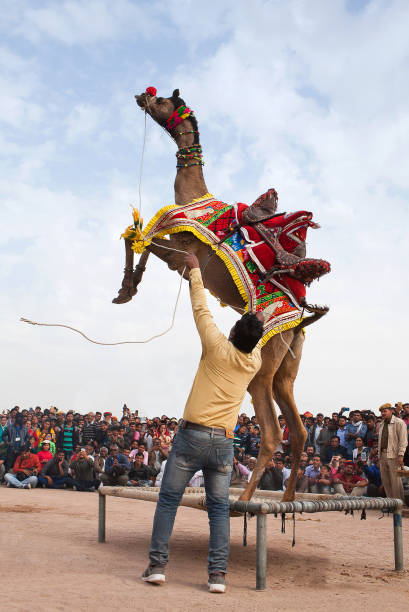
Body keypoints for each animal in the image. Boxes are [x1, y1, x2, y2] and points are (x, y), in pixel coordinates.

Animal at [112, 87, 328, 502]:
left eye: (161, 99)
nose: (139, 96)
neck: (195, 196)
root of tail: (301, 316)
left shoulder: (185, 253)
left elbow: (139, 237)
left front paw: (126, 290)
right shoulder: (179, 252)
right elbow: (138, 235)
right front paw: (128, 287)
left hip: (263, 365)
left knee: (273, 432)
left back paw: (244, 500)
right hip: (287, 364)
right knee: (298, 429)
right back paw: (288, 501)